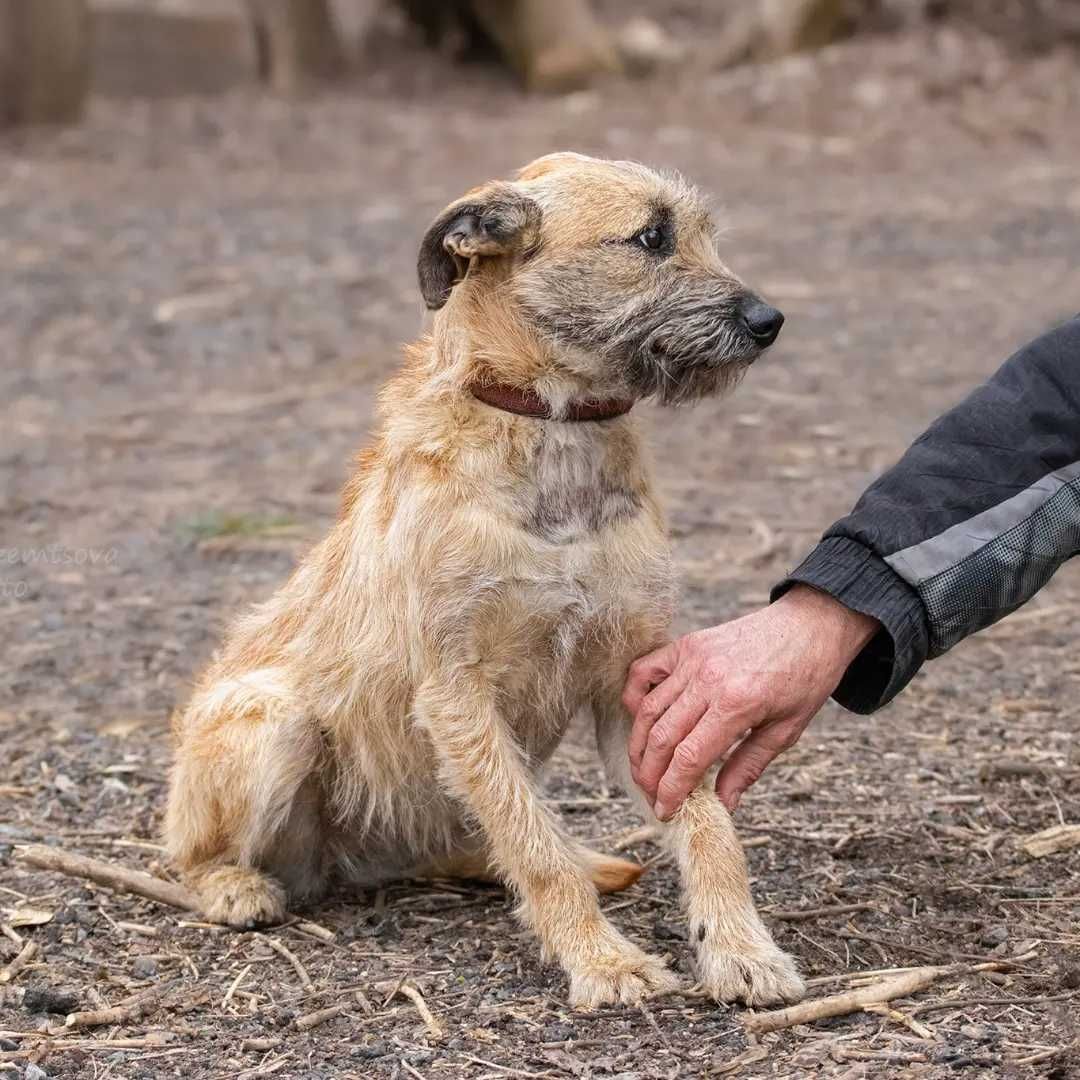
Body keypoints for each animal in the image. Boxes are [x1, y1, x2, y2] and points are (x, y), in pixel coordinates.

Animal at [166, 152, 803, 1010]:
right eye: (651, 237)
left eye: (701, 233)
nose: (770, 320)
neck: (552, 430)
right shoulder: (458, 691)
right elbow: (536, 849)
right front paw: (604, 963)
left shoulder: (632, 690)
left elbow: (705, 825)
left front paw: (740, 949)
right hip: (273, 718)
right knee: (191, 857)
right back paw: (235, 886)